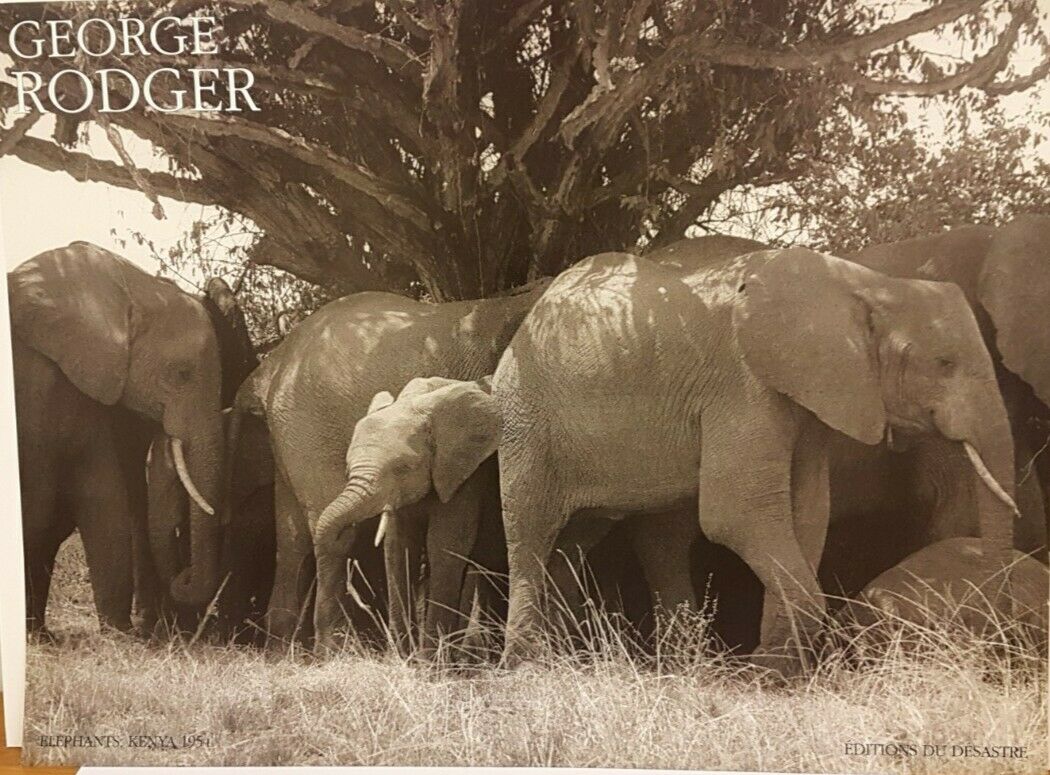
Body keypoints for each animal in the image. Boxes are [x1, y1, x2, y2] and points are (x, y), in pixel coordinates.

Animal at [11, 242, 251, 634]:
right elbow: (41, 507)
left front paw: (118, 633)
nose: (184, 574)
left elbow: (106, 496)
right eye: (182, 374)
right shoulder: (37, 387)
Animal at [240, 281, 550, 651]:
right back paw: (332, 647)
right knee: (331, 536)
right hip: (308, 430)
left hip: (289, 438)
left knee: (293, 540)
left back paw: (283, 648)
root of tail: (277, 362)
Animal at [495, 247, 1020, 672]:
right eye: (944, 364)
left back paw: (590, 660)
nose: (989, 639)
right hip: (524, 422)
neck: (866, 283)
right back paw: (528, 665)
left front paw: (778, 666)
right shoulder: (742, 384)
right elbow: (737, 513)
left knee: (579, 539)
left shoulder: (810, 398)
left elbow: (809, 510)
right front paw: (772, 671)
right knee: (531, 531)